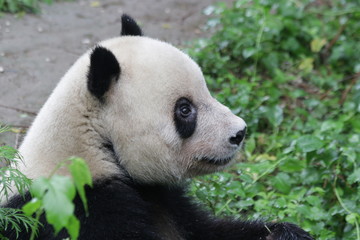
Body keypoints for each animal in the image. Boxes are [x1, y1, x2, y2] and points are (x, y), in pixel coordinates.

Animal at [1, 15, 314, 240]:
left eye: (207, 90)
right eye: (185, 109)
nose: (239, 132)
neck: (92, 146)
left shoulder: (162, 198)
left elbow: (207, 230)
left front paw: (287, 233)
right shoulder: (76, 208)